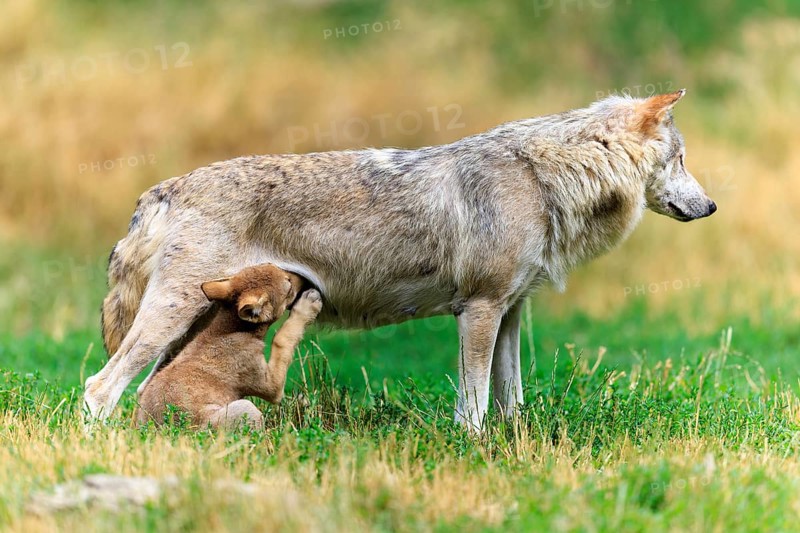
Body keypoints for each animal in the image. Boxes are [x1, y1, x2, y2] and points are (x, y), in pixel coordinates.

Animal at [85, 90, 715, 430]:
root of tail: (162, 189)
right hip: (169, 318)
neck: (544, 180)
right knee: (99, 387)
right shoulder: (478, 310)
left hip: (184, 329)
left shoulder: (510, 312)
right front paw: (473, 449)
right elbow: (474, 404)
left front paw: (514, 443)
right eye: (682, 159)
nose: (710, 206)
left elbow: (510, 397)